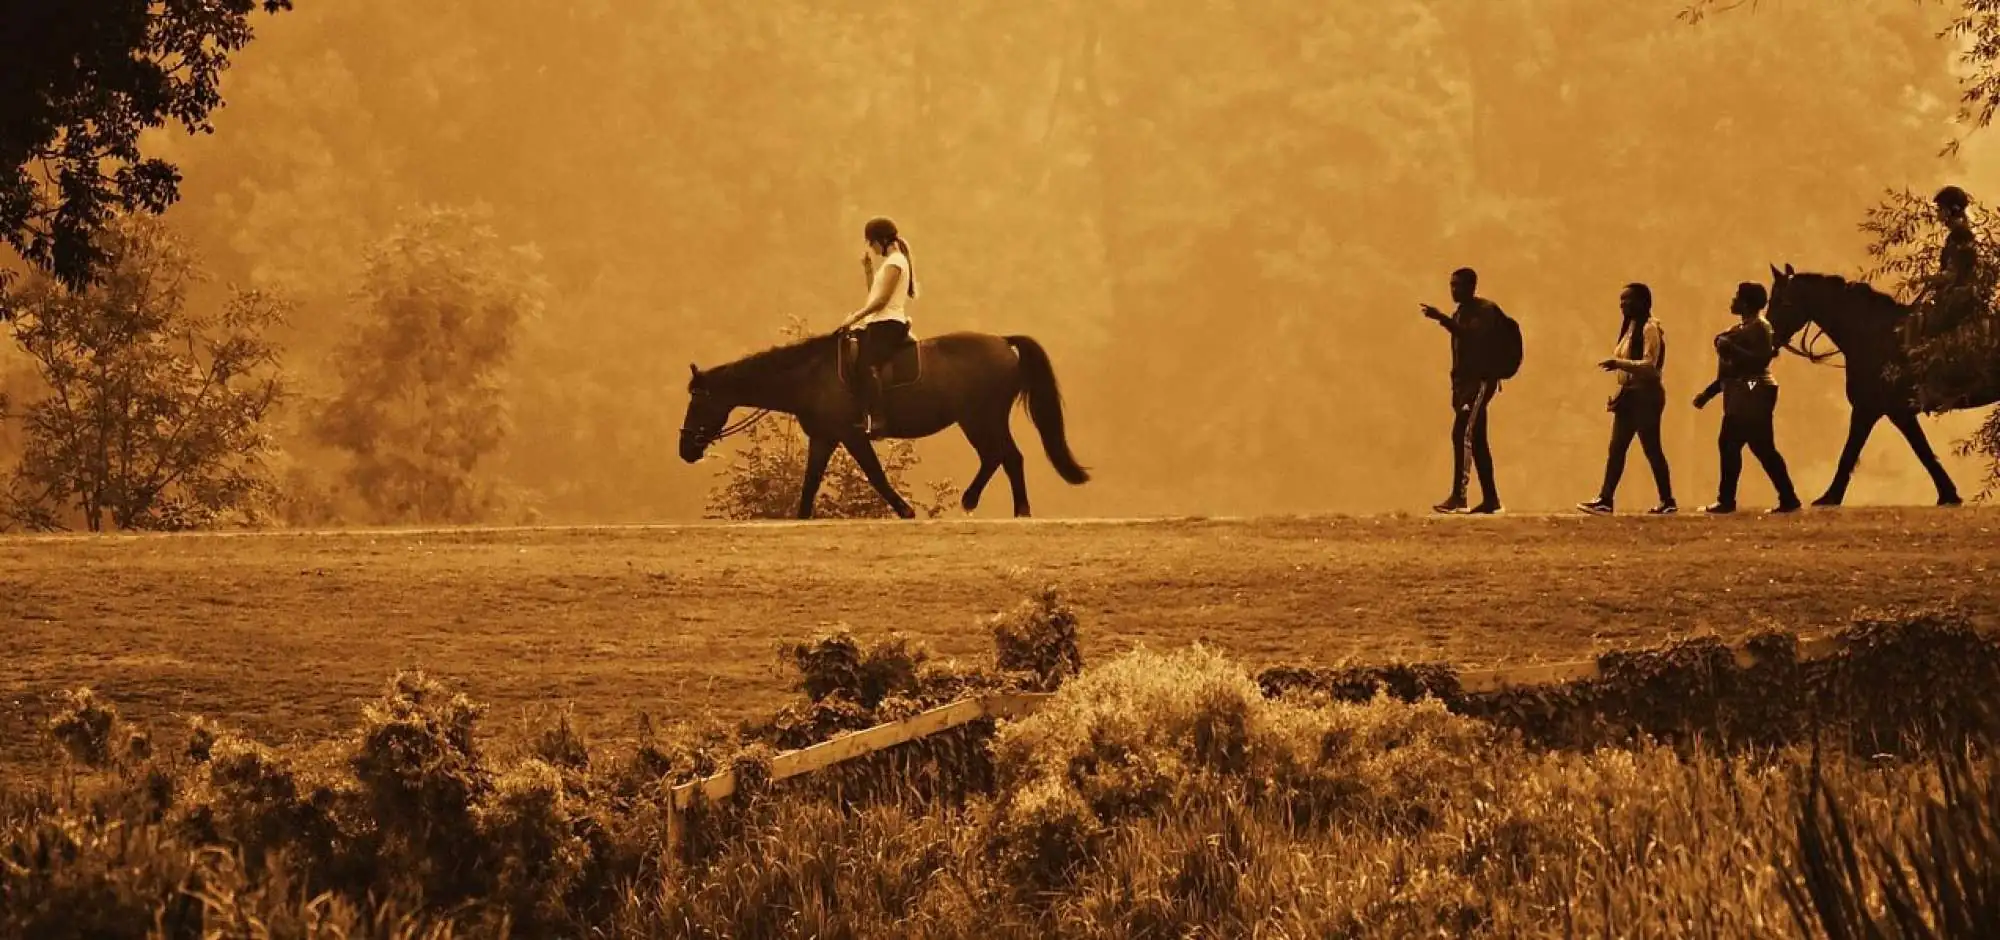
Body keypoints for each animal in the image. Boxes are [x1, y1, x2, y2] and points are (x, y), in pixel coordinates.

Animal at [679, 330, 1090, 519]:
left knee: (1008, 457)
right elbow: (810, 481)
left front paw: (905, 510)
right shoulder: (825, 437)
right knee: (997, 457)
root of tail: (1004, 343)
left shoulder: (851, 435)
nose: (685, 449)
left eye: (698, 400)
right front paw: (800, 517)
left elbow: (875, 474)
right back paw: (978, 501)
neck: (810, 375)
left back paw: (1015, 509)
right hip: (976, 420)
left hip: (980, 417)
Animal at [1764, 262, 1979, 507]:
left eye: (1781, 301)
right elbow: (1921, 450)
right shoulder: (1891, 412)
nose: (1770, 340)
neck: (1873, 334)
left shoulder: (1872, 409)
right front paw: (1948, 493)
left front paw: (1830, 497)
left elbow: (1852, 451)